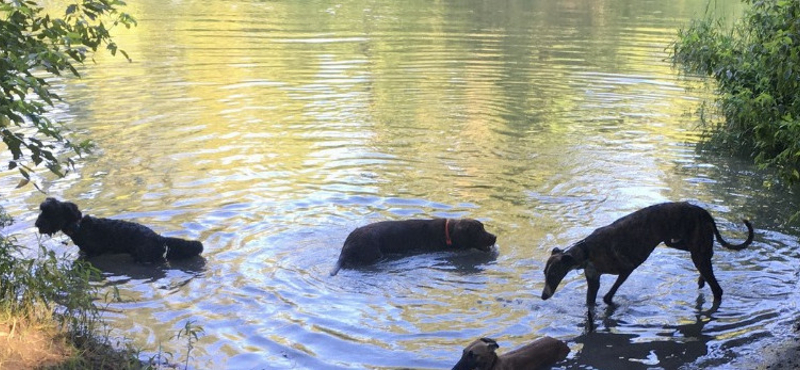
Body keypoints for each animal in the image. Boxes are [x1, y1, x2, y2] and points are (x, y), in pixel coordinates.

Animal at [35, 197, 203, 264]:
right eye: (42, 209)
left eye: (50, 212)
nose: (37, 224)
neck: (79, 227)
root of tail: (160, 238)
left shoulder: (93, 254)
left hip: (144, 258)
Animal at [540, 201, 752, 308]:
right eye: (544, 273)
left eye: (553, 274)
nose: (543, 296)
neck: (586, 250)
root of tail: (703, 211)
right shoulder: (593, 281)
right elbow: (591, 302)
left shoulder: (626, 269)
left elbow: (608, 297)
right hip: (677, 242)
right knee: (709, 255)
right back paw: (701, 279)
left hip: (692, 248)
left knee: (717, 289)